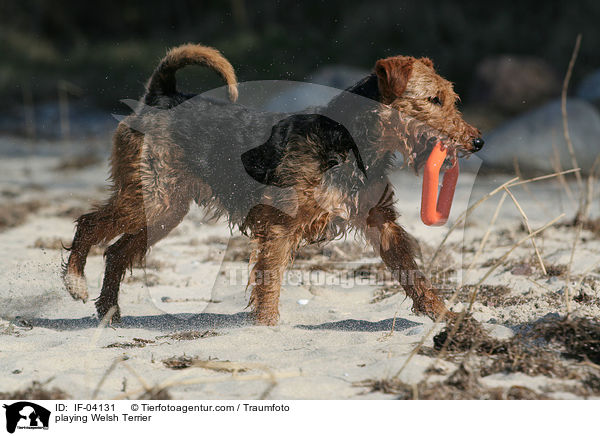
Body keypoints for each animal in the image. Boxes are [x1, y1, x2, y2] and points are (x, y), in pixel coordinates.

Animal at [62, 44, 482, 326]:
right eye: (433, 99)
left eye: (451, 97)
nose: (477, 141)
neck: (350, 142)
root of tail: (159, 95)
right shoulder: (280, 226)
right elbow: (269, 283)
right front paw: (265, 328)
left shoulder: (382, 222)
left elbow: (413, 274)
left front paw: (445, 315)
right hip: (153, 198)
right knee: (89, 224)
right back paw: (75, 282)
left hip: (165, 211)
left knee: (116, 252)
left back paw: (109, 312)